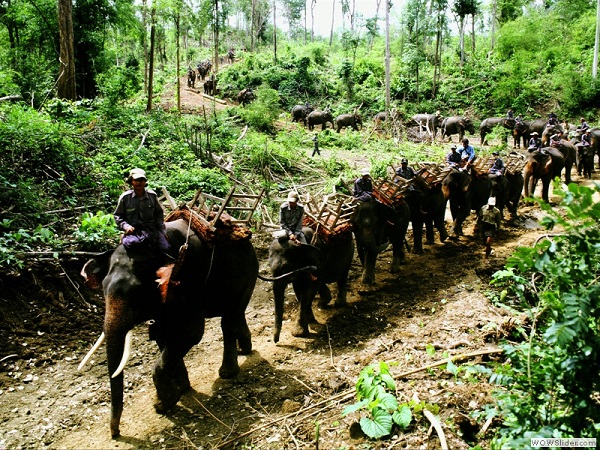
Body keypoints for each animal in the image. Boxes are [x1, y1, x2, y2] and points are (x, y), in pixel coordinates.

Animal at [78, 220, 256, 438]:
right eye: (102, 289)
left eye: (137, 292)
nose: (116, 434)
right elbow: (162, 336)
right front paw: (182, 389)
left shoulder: (187, 280)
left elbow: (191, 332)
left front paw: (162, 404)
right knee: (236, 314)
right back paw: (244, 349)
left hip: (247, 275)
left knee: (229, 319)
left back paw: (227, 372)